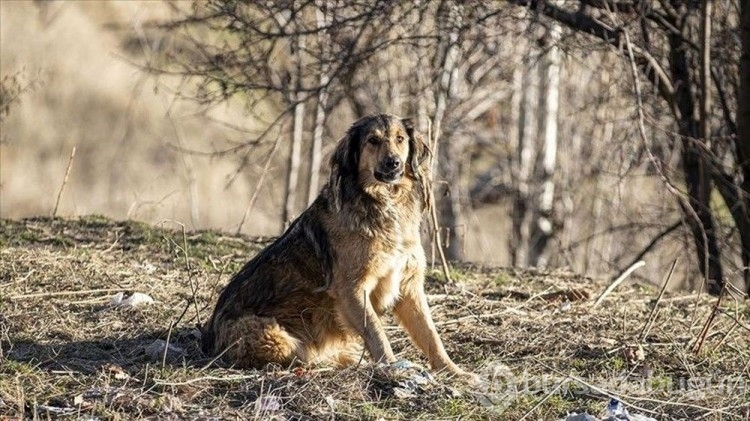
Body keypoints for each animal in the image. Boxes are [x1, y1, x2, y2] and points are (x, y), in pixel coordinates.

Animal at [201, 113, 476, 378]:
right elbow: (376, 332)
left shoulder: (408, 286)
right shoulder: (351, 289)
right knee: (301, 355)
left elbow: (430, 335)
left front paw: (454, 371)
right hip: (273, 335)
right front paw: (391, 366)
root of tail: (209, 338)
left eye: (400, 139)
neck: (385, 202)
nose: (394, 163)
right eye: (372, 141)